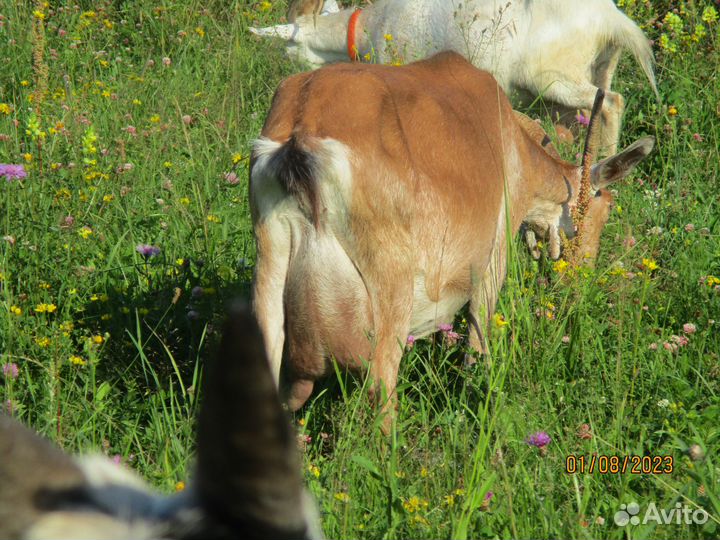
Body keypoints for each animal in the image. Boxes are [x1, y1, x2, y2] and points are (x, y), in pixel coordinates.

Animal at [250, 52, 654, 432]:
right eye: (604, 207)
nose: (580, 281)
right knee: (381, 385)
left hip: (269, 264)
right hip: (389, 288)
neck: (512, 143)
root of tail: (301, 136)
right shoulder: (494, 252)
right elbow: (478, 332)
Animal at [251, 0, 659, 155]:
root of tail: (612, 21)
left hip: (555, 76)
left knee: (612, 103)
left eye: (289, 44)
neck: (372, 27)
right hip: (597, 68)